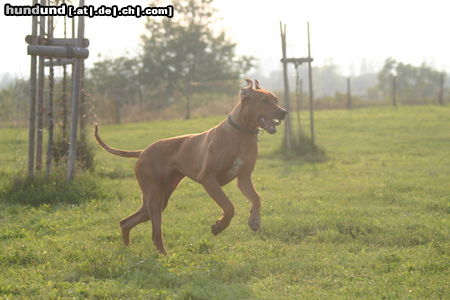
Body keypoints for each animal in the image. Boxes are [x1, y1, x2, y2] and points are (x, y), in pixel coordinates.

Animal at [94, 79, 288, 253]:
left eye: (276, 100)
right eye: (264, 101)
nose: (284, 112)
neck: (241, 134)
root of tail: (143, 151)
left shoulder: (244, 178)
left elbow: (256, 198)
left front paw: (254, 220)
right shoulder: (208, 178)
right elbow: (229, 207)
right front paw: (219, 226)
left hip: (159, 197)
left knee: (126, 222)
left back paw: (127, 249)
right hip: (154, 196)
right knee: (155, 234)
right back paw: (163, 255)